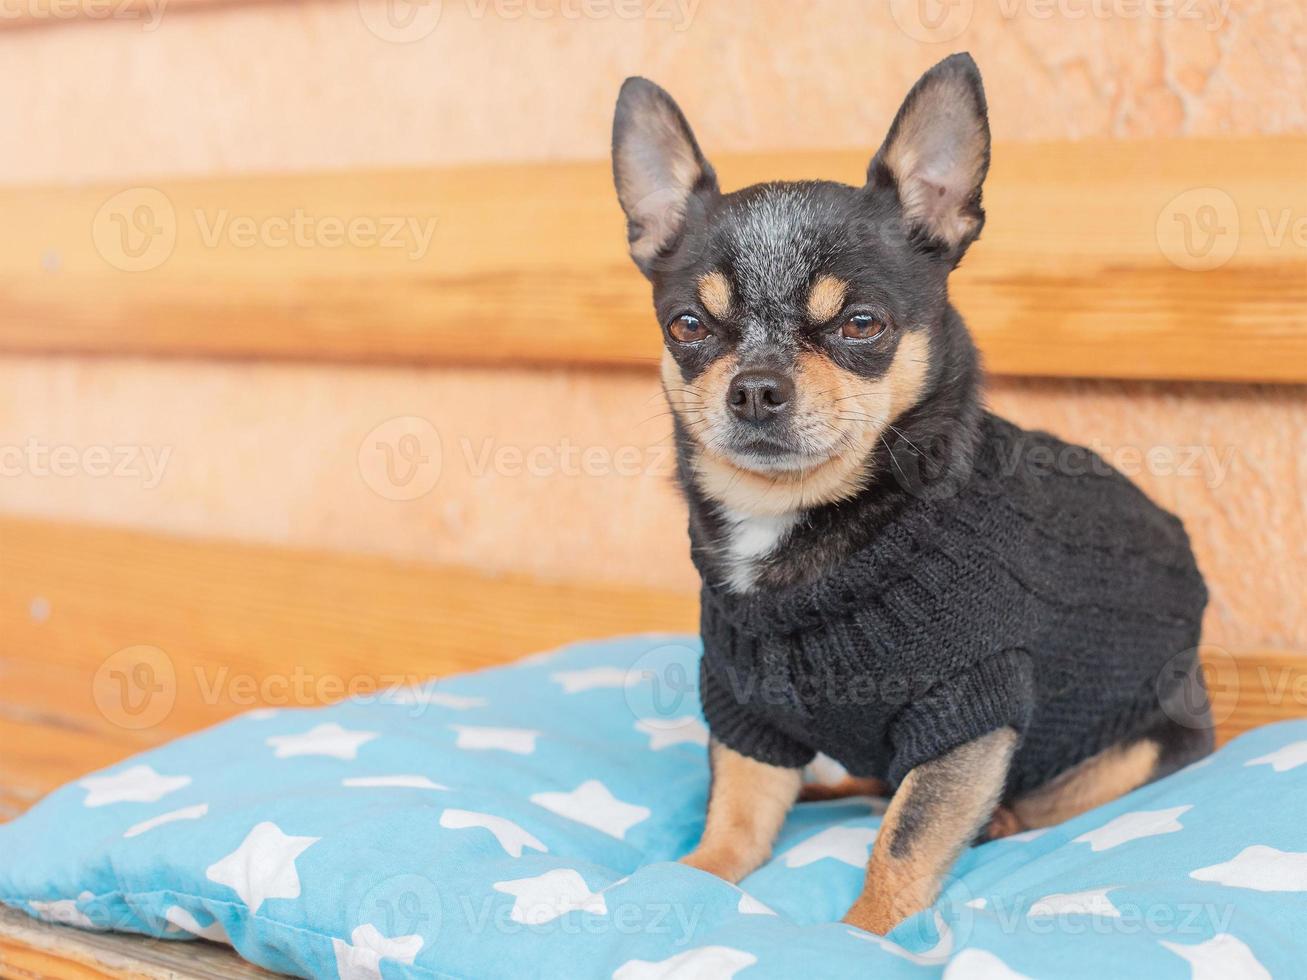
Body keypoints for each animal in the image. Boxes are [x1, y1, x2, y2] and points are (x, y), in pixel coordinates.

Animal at [611, 51, 1212, 935]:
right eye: (688, 326)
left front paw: (862, 936)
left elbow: (903, 843)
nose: (754, 388)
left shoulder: (964, 713)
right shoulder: (745, 709)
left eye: (861, 324)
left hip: (1134, 747)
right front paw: (691, 876)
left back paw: (996, 818)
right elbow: (736, 816)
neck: (801, 525)